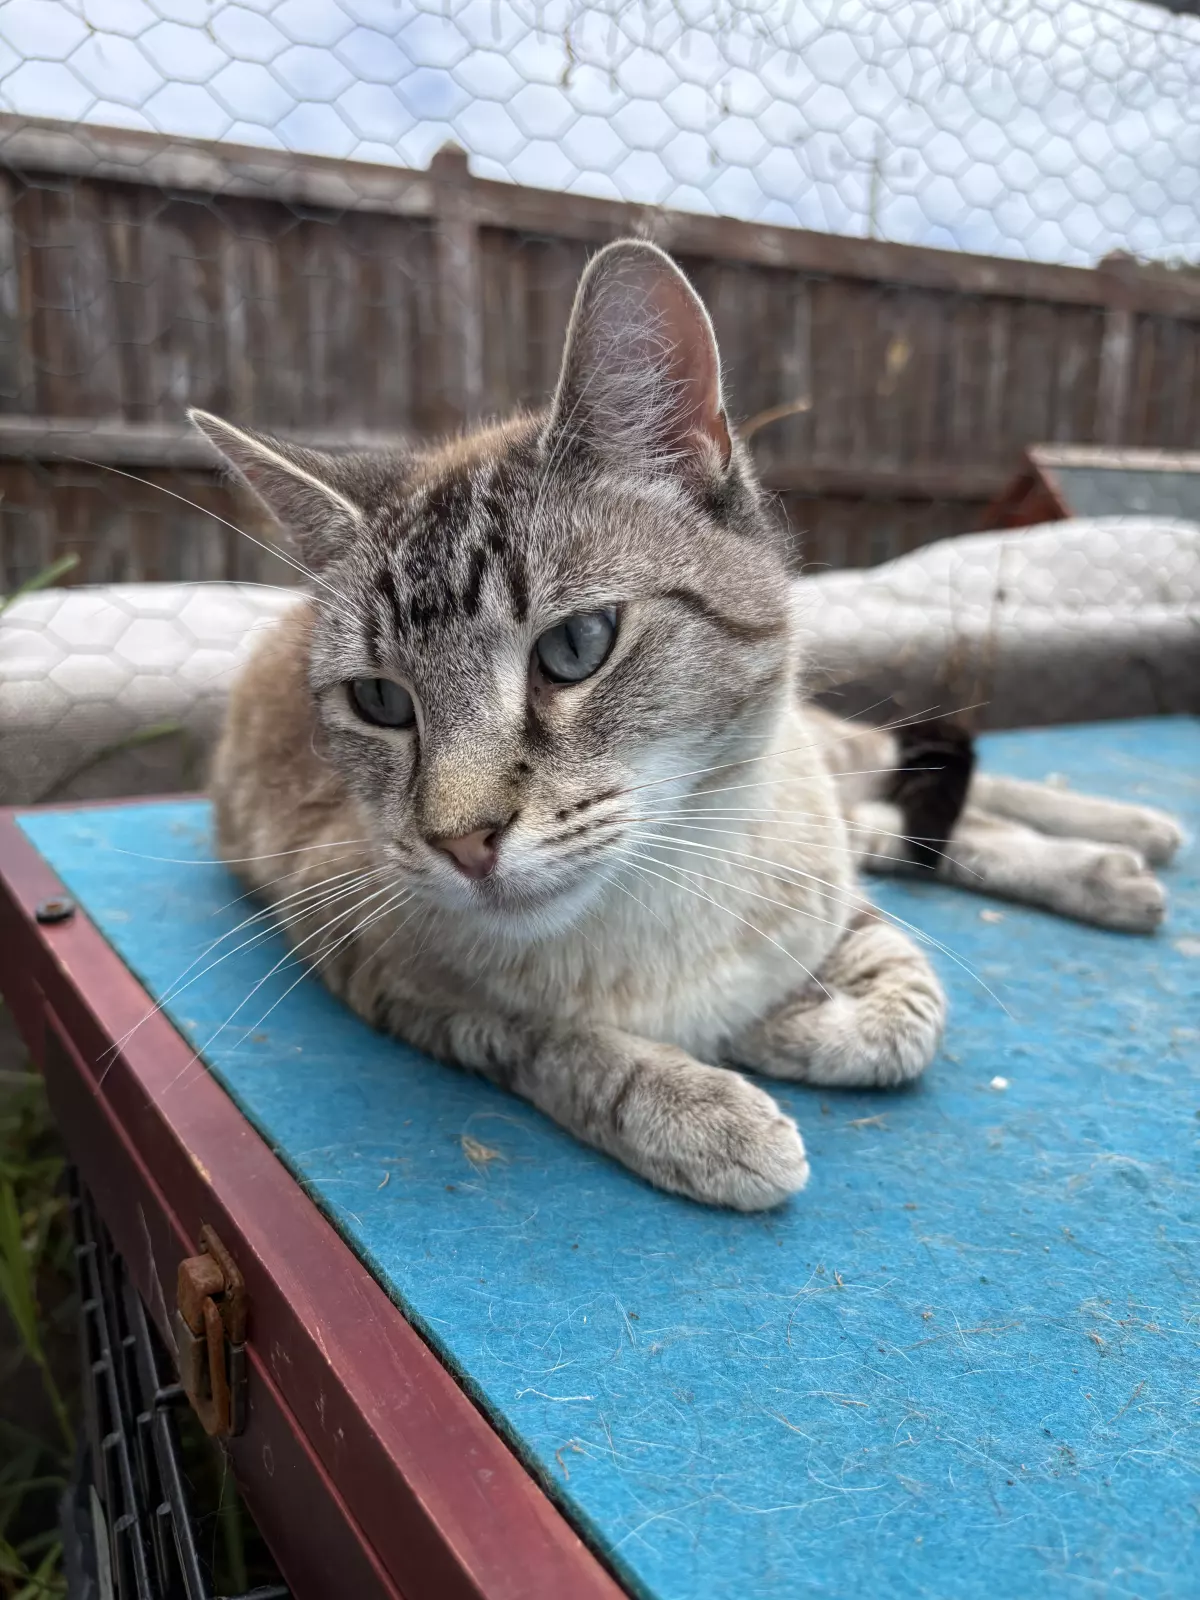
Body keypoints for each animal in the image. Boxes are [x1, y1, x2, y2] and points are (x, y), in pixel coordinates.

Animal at [191, 239, 1182, 1211]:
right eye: (381, 702)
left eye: (576, 645)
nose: (462, 844)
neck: (666, 879)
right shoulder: (377, 965)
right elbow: (554, 1043)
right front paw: (710, 1108)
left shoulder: (834, 901)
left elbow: (903, 1016)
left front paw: (781, 1026)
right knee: (919, 823)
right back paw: (1118, 865)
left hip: (834, 769)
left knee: (936, 794)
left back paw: (1132, 838)